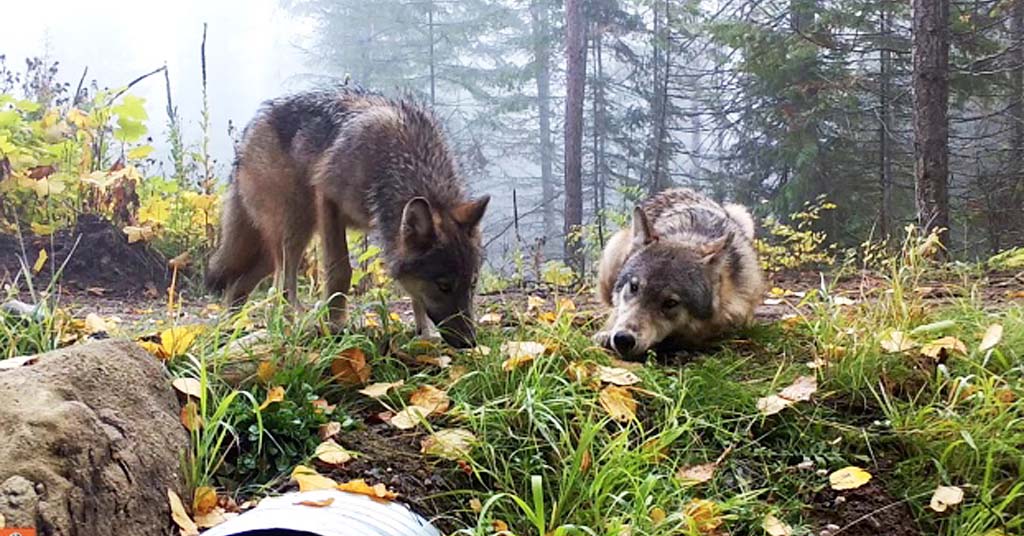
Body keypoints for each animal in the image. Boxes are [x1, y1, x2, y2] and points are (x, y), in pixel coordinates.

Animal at [205, 87, 490, 348]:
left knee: (240, 286)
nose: (470, 341)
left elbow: (414, 294)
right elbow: (340, 271)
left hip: (273, 249)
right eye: (443, 286)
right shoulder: (328, 199)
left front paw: (425, 335)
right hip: (294, 231)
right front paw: (335, 325)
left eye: (472, 283)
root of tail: (248, 133)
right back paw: (289, 326)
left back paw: (233, 330)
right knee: (281, 288)